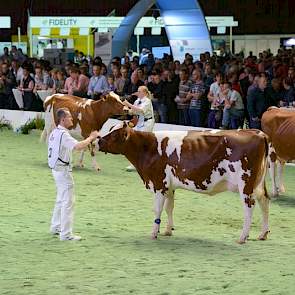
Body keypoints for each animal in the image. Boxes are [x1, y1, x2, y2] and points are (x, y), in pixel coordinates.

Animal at [97, 122, 270, 245]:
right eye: (110, 128)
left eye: (114, 134)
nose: (98, 141)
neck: (149, 147)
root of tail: (257, 132)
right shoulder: (169, 185)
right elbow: (169, 207)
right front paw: (167, 230)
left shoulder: (158, 183)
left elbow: (157, 209)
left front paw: (154, 233)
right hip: (258, 184)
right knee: (264, 201)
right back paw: (262, 234)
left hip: (245, 184)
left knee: (249, 207)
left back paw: (242, 237)